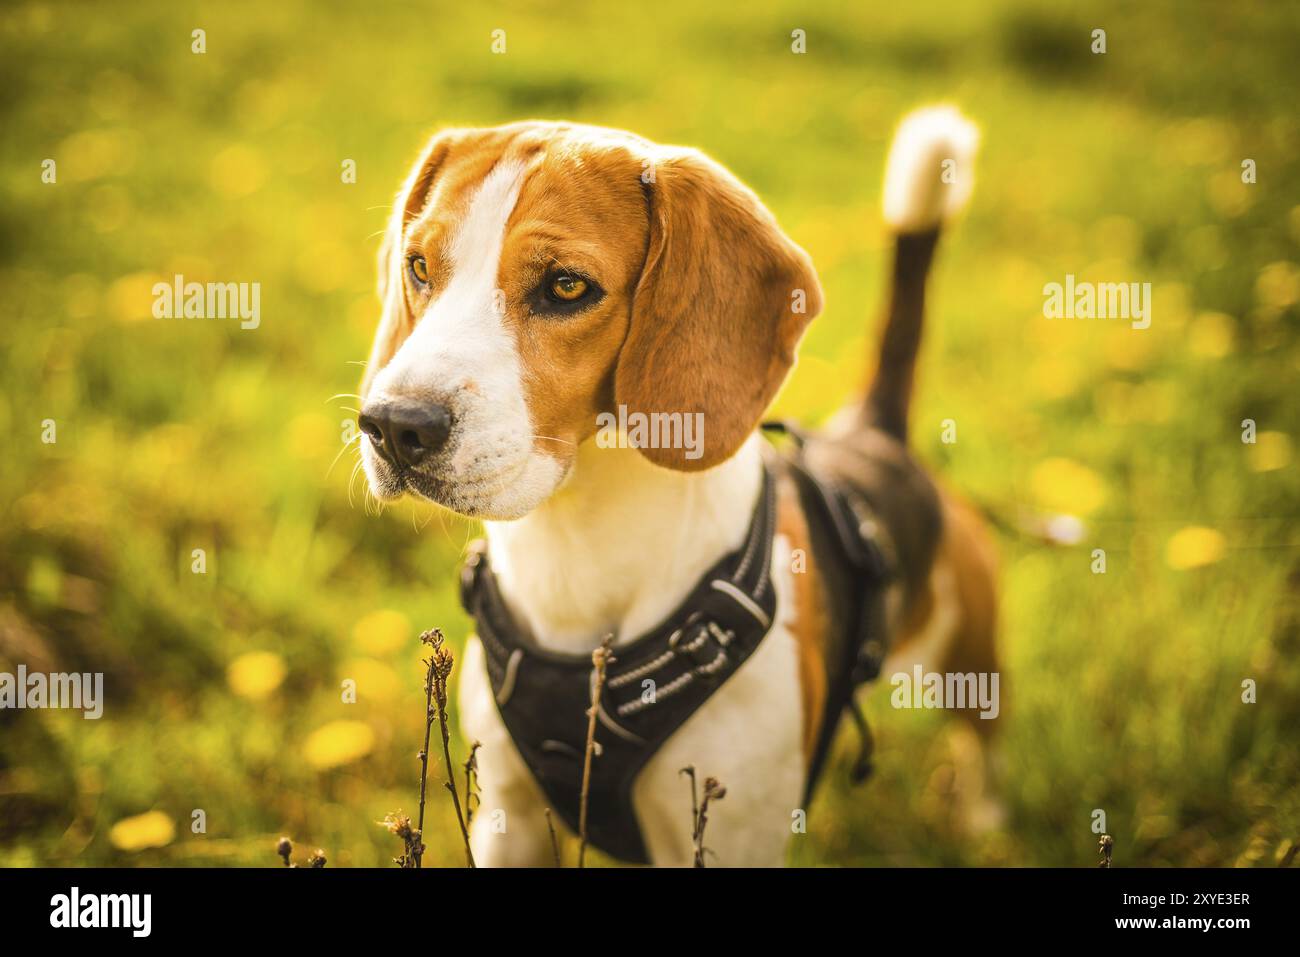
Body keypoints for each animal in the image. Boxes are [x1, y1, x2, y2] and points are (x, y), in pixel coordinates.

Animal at [361, 111, 998, 868]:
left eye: (567, 287)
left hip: (971, 661)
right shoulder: (505, 819)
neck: (578, 543)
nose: (393, 425)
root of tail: (874, 433)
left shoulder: (727, 837)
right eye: (419, 267)